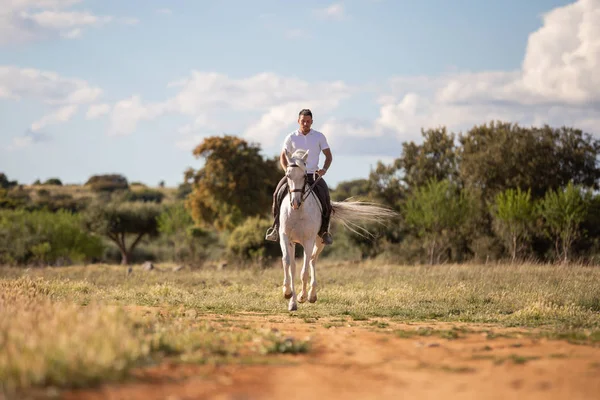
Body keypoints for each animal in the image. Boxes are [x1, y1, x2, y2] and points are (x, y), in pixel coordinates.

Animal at [280, 148, 398, 310]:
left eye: (304, 175)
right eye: (287, 175)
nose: (295, 203)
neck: (298, 212)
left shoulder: (308, 241)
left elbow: (304, 271)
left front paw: (302, 296)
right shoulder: (285, 237)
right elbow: (287, 263)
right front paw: (287, 294)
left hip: (319, 241)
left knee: (312, 260)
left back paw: (311, 295)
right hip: (294, 242)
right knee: (295, 265)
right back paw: (293, 301)